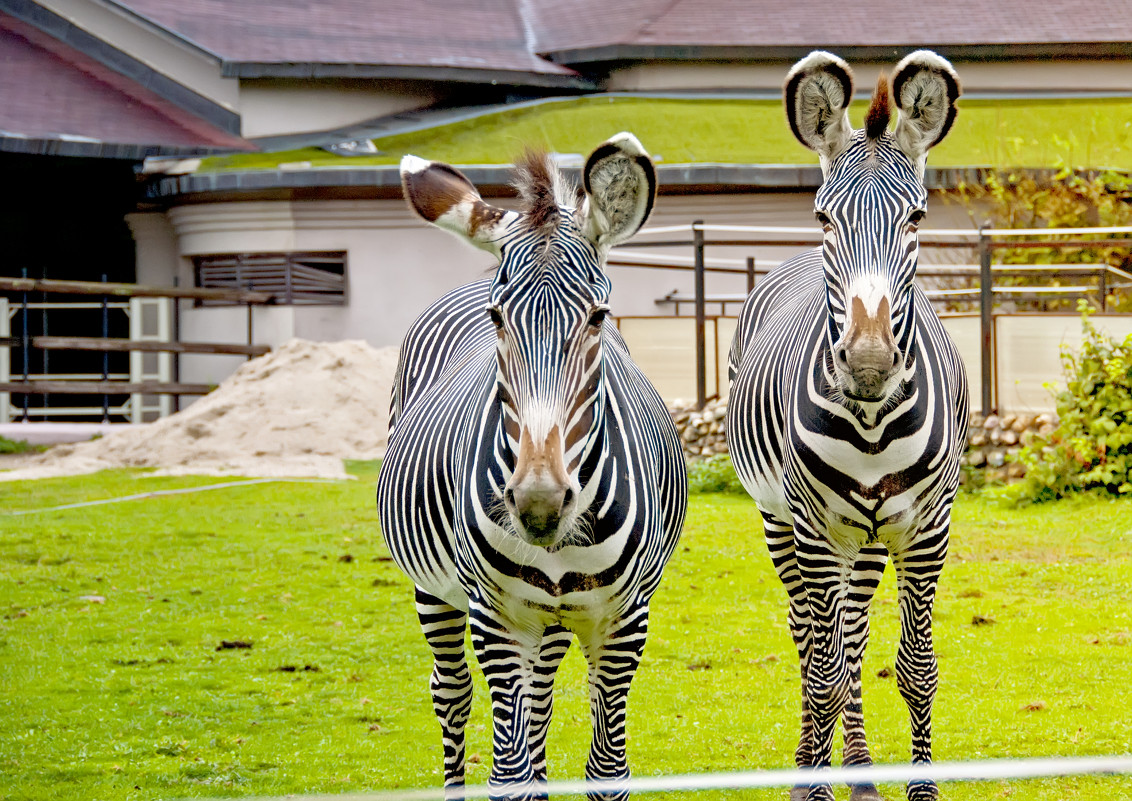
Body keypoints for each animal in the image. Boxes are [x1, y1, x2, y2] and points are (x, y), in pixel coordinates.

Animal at [375, 132, 683, 800]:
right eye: (497, 319)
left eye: (598, 317)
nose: (539, 505)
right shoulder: (497, 618)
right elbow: (508, 776)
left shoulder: (623, 620)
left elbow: (607, 772)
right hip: (436, 593)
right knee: (452, 696)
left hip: (551, 621)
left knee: (537, 705)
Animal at [729, 51, 968, 800]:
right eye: (823, 217)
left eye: (917, 218)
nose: (866, 363)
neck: (870, 421)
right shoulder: (813, 528)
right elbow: (825, 672)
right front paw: (812, 784)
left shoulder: (928, 529)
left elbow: (915, 668)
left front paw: (921, 788)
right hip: (784, 523)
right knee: (811, 638)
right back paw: (813, 765)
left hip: (865, 541)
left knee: (854, 635)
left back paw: (861, 772)